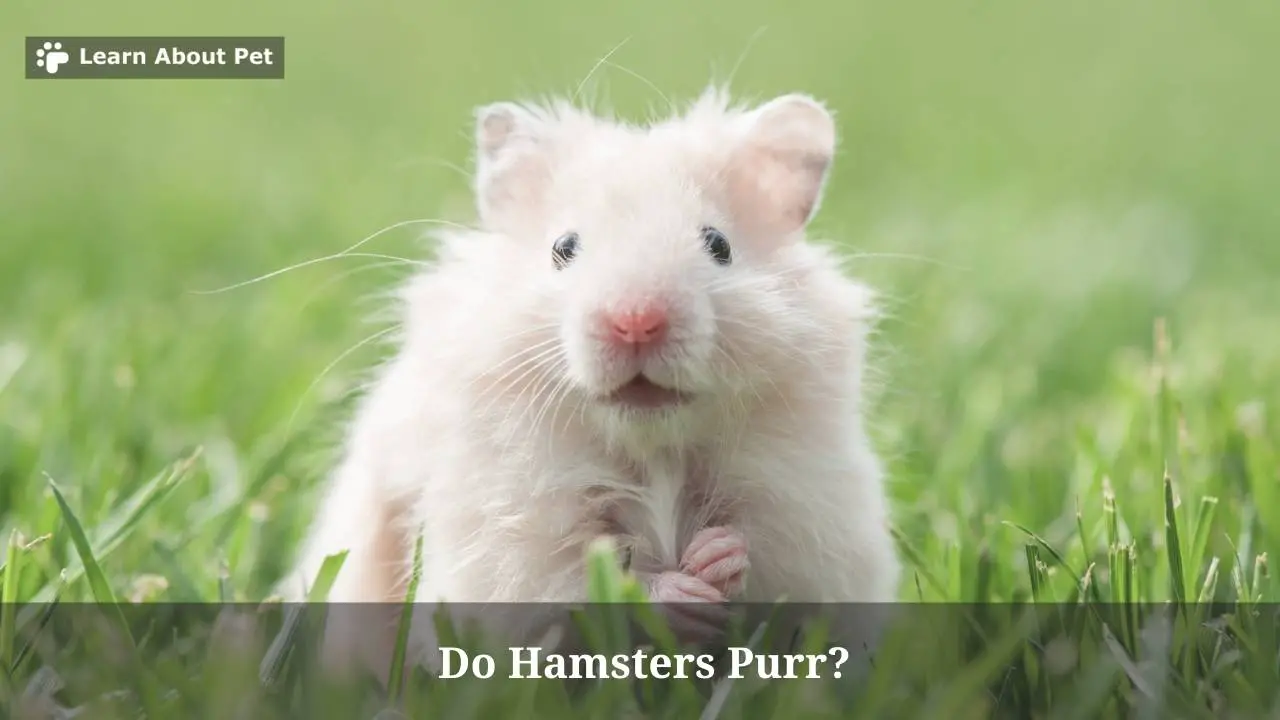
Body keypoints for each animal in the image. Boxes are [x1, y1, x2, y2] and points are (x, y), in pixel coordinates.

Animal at [284, 86, 901, 679]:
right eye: (564, 248)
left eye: (719, 245)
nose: (637, 321)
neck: (653, 446)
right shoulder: (511, 538)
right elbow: (583, 582)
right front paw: (681, 592)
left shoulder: (808, 513)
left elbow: (767, 556)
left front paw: (715, 557)